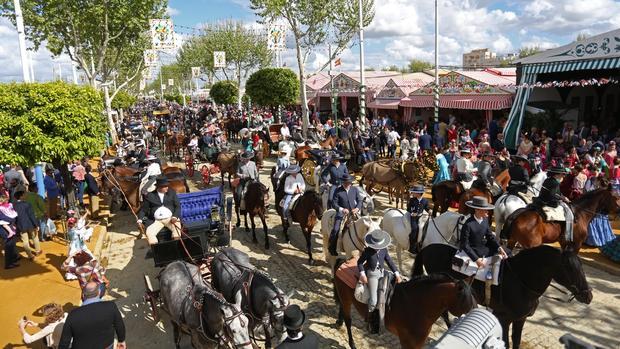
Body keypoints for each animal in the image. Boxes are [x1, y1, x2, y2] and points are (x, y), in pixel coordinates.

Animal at [334, 258, 474, 348]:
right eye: (465, 303)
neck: (416, 307)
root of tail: (344, 261)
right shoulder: (407, 342)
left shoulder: (418, 344)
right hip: (346, 299)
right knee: (348, 320)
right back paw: (352, 343)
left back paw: (339, 321)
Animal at [414, 243, 592, 348]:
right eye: (569, 267)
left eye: (581, 266)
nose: (588, 296)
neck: (521, 281)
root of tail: (427, 247)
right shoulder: (504, 318)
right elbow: (506, 341)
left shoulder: (520, 319)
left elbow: (516, 341)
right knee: (444, 313)